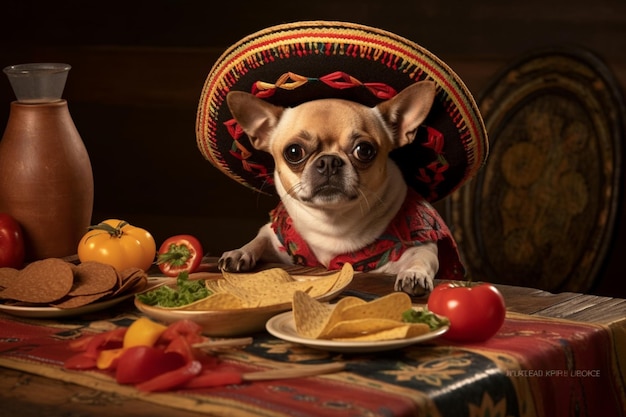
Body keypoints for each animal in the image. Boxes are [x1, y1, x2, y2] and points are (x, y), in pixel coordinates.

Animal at [217, 81, 446, 294]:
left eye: (364, 150)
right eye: (293, 151)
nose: (328, 161)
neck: (332, 221)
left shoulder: (420, 245)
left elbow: (421, 257)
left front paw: (414, 274)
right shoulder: (275, 239)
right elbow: (259, 240)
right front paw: (239, 252)